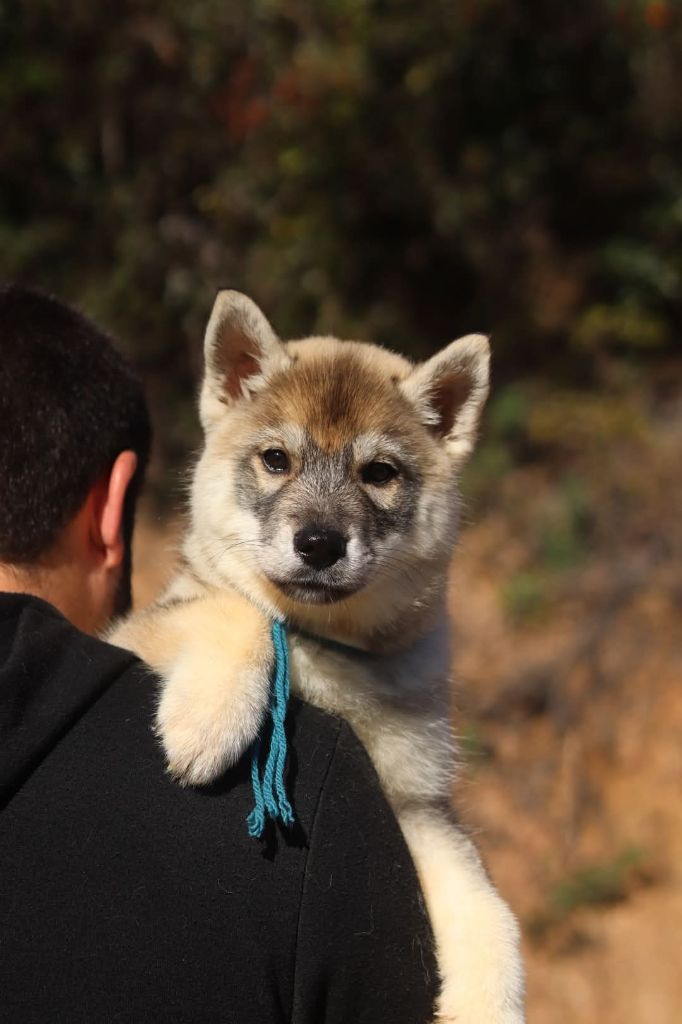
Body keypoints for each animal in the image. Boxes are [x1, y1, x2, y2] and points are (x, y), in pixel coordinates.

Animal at [114, 290, 522, 1024]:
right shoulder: (133, 630)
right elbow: (240, 610)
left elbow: (490, 912)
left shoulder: (419, 807)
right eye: (276, 459)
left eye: (379, 473)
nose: (320, 543)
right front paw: (208, 721)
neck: (325, 653)